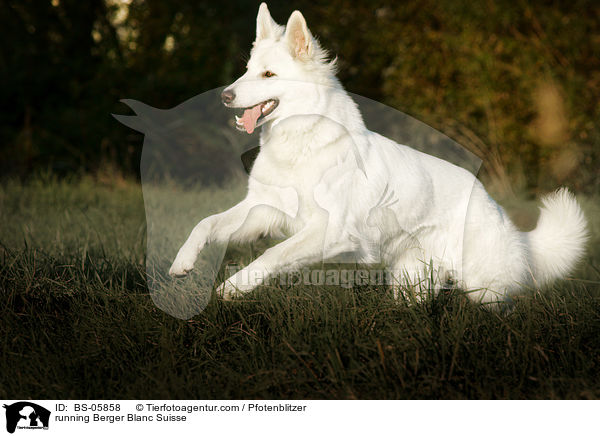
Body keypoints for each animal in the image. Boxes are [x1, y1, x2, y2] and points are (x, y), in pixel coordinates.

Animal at [168, 3, 584, 304]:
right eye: (247, 70)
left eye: (268, 75)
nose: (225, 96)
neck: (302, 142)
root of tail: (493, 204)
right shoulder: (263, 210)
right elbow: (205, 223)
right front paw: (182, 261)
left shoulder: (329, 231)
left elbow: (273, 255)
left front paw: (234, 287)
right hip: (410, 284)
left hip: (483, 288)